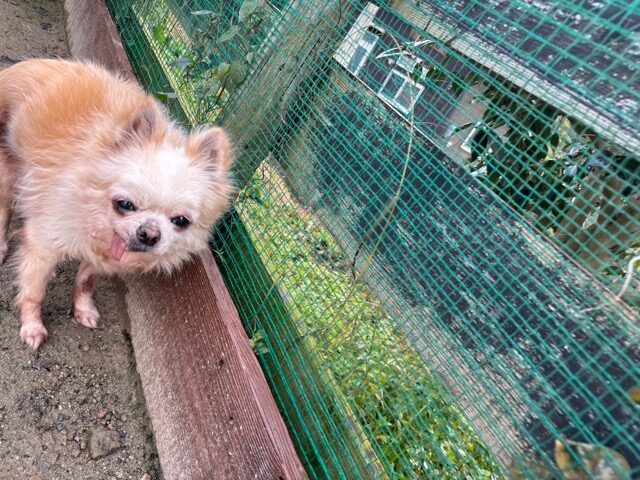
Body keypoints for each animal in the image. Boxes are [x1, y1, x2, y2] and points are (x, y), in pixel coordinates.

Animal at [0, 59, 233, 349]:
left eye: (181, 221)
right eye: (124, 204)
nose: (149, 233)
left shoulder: (102, 258)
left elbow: (85, 281)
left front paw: (82, 308)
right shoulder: (43, 245)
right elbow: (34, 291)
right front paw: (32, 326)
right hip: (7, 175)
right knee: (4, 212)